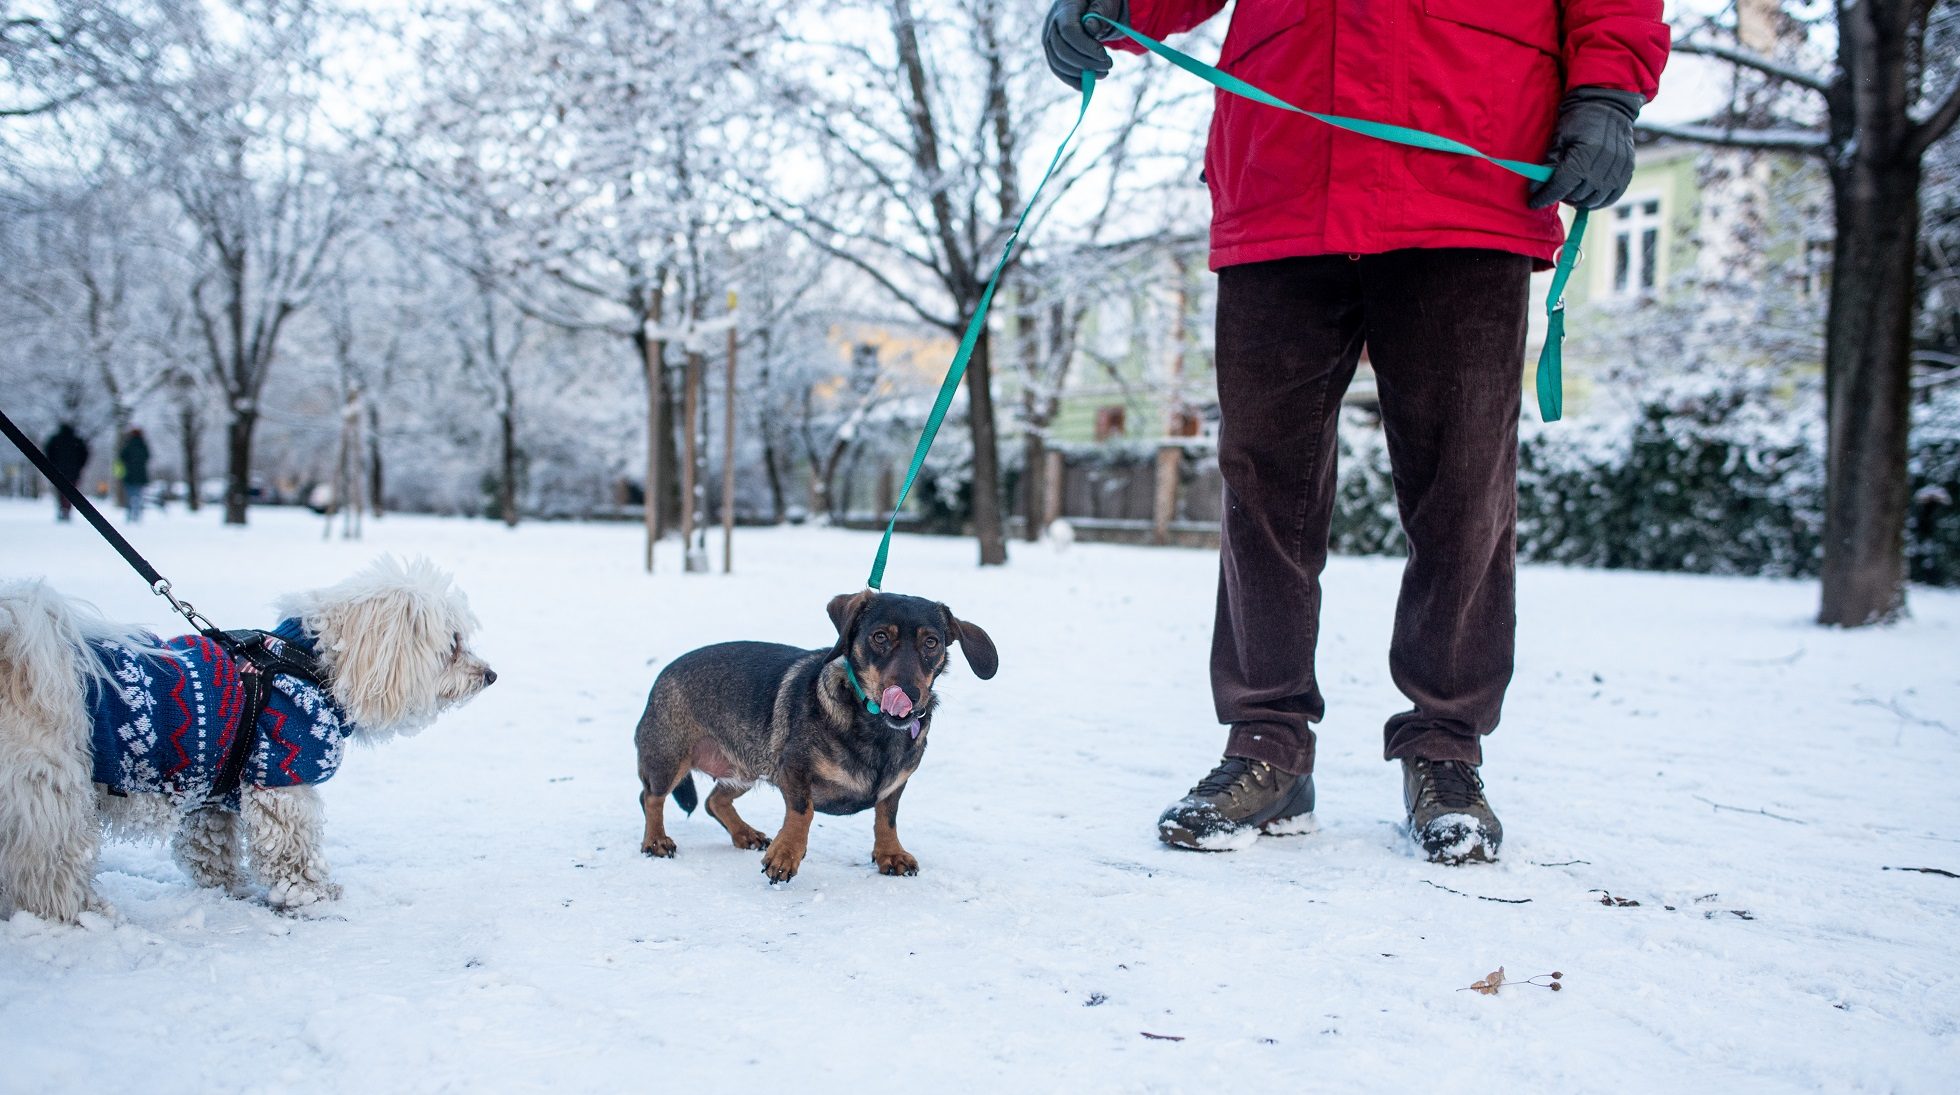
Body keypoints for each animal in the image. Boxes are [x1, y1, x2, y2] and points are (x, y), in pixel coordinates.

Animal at [0, 556, 490, 924]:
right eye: (453, 645)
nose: (491, 675)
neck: (307, 663)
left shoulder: (210, 794)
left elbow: (208, 850)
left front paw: (228, 890)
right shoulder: (281, 775)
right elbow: (294, 850)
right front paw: (313, 897)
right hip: (51, 791)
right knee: (47, 867)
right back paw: (85, 915)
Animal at [635, 591, 995, 881]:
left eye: (931, 642)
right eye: (879, 637)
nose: (908, 693)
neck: (874, 726)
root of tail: (663, 674)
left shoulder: (896, 784)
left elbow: (887, 817)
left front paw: (890, 854)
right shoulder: (792, 769)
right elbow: (802, 810)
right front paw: (785, 855)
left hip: (747, 767)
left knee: (714, 801)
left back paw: (744, 834)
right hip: (669, 759)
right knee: (651, 797)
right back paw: (656, 841)